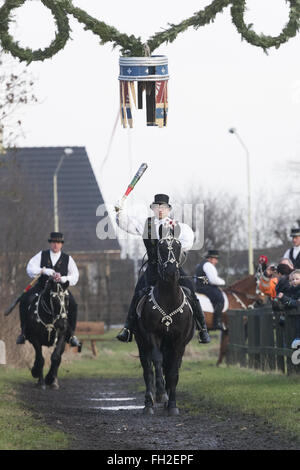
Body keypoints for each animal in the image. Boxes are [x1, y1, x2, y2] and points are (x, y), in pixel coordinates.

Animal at [134, 234, 195, 414]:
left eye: (178, 247)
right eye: (160, 248)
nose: (171, 272)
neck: (168, 299)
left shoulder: (179, 341)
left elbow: (173, 371)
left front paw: (173, 405)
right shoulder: (152, 335)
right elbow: (157, 361)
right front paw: (161, 394)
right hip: (142, 344)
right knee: (148, 370)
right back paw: (149, 403)